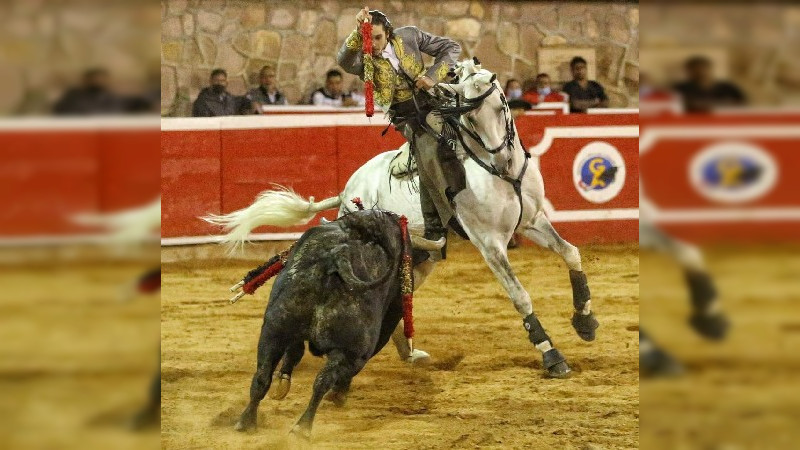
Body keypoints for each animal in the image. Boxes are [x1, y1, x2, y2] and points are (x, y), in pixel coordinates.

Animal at [208, 59, 600, 376]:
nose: (497, 156)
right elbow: (520, 295)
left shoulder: (531, 221)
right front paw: (551, 355)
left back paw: (408, 352)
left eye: (499, 105)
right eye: (467, 116)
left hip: (423, 256)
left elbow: (571, 252)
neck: (501, 172)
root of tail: (348, 189)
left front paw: (585, 321)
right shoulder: (490, 244)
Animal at [234, 210, 412, 436]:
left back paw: (248, 422)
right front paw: (338, 395)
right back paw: (310, 420)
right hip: (353, 350)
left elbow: (293, 353)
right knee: (327, 379)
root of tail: (337, 256)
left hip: (273, 331)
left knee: (263, 376)